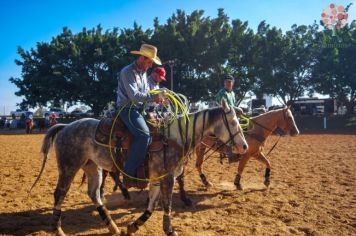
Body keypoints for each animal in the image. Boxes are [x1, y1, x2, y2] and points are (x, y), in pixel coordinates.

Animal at [31, 100, 248, 236]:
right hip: (69, 166)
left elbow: (152, 205)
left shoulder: (158, 178)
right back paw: (57, 229)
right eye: (233, 121)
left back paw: (113, 227)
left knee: (94, 194)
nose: (244, 147)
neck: (174, 137)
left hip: (93, 167)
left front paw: (133, 226)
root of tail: (65, 126)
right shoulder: (168, 177)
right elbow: (166, 204)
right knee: (60, 193)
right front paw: (170, 230)